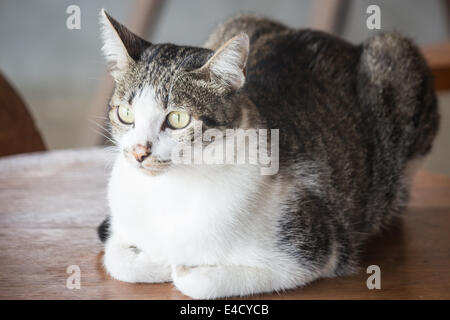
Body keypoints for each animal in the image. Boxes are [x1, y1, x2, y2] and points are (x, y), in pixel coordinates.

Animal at [97, 8, 440, 298]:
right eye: (125, 114)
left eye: (178, 119)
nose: (139, 152)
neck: (170, 191)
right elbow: (116, 258)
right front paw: (154, 260)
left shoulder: (316, 248)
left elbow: (199, 282)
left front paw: (179, 267)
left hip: (395, 56)